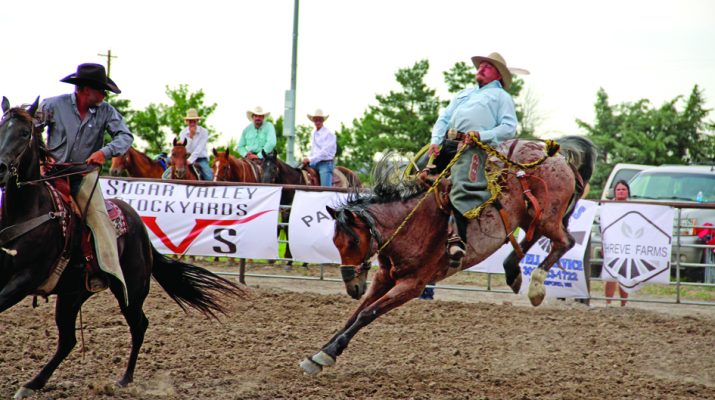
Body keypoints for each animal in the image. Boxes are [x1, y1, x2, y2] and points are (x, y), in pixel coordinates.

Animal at [0, 97, 246, 398]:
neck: (28, 211)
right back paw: (33, 383)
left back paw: (124, 379)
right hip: (74, 293)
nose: (0, 168)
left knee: (139, 325)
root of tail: (141, 229)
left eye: (25, 133)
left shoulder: (25, 278)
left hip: (131, 289)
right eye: (1, 127)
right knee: (68, 340)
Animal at [299, 136, 597, 375]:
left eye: (352, 240)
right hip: (529, 216)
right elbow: (354, 314)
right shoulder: (383, 277)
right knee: (534, 237)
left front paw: (327, 354)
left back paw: (535, 287)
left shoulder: (412, 285)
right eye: (335, 241)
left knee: (565, 241)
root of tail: (558, 156)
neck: (409, 223)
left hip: (548, 217)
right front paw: (318, 354)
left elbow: (366, 314)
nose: (351, 285)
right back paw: (512, 271)